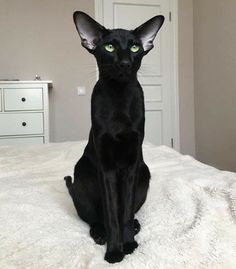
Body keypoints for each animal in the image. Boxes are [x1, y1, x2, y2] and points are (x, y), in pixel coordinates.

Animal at [64, 11, 164, 262]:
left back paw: (136, 226)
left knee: (130, 211)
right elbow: (112, 215)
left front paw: (128, 244)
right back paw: (100, 233)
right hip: (82, 174)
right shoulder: (106, 166)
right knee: (94, 217)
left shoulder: (131, 163)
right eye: (109, 47)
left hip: (144, 174)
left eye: (135, 47)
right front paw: (114, 251)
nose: (125, 63)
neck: (119, 97)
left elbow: (124, 212)